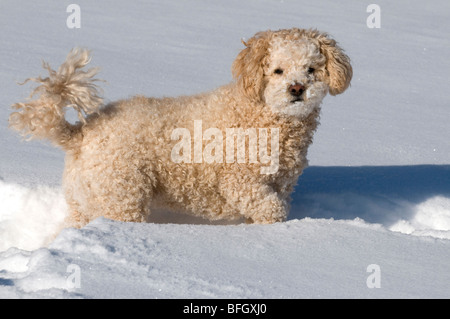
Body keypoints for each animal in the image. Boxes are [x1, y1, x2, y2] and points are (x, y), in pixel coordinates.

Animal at [9, 27, 352, 228]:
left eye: (312, 69)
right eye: (278, 71)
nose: (297, 89)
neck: (263, 114)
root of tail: (80, 134)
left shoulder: (280, 183)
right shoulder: (240, 182)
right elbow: (271, 210)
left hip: (86, 198)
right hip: (121, 193)